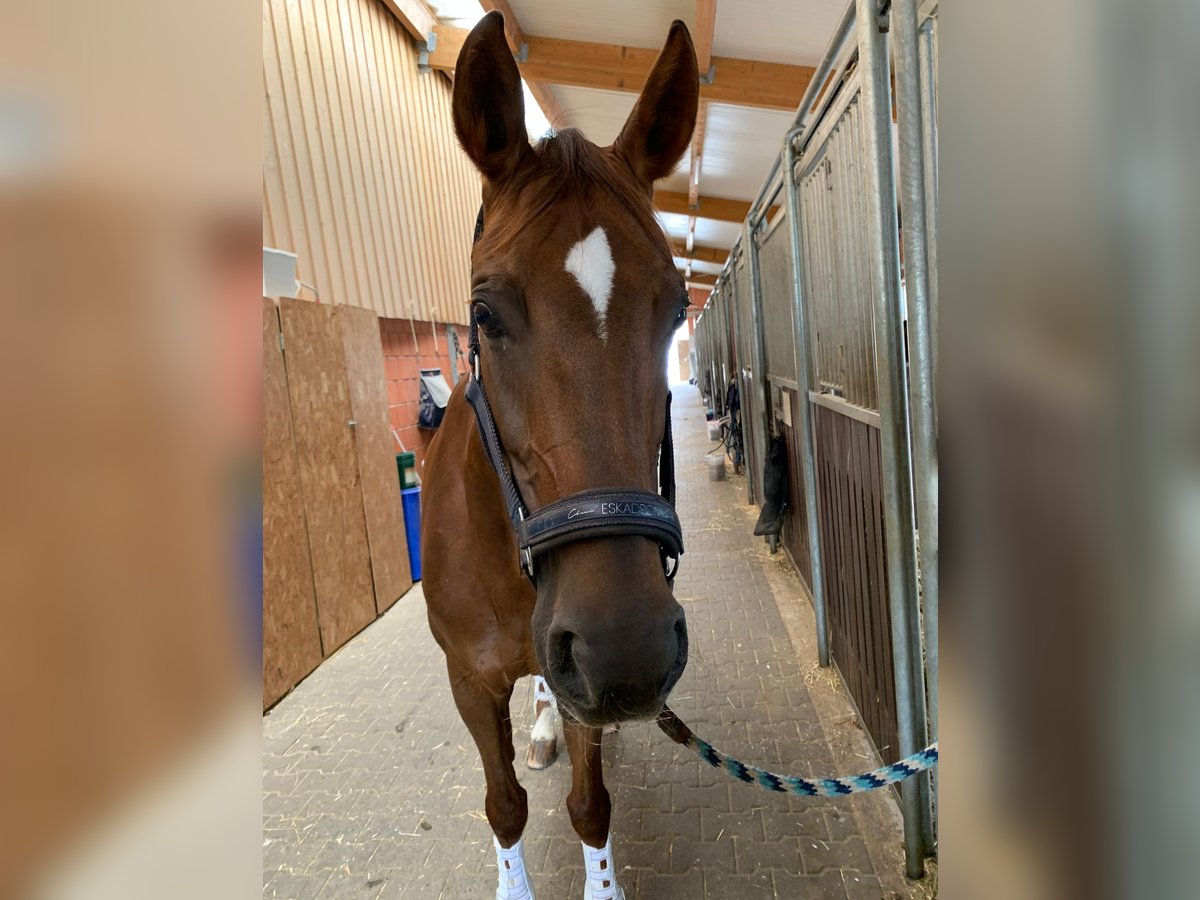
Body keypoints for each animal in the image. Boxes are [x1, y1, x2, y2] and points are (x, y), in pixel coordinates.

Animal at [424, 12, 700, 900]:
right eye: (484, 312)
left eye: (677, 308)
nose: (628, 649)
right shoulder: (469, 682)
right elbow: (504, 805)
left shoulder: (586, 683)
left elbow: (590, 806)